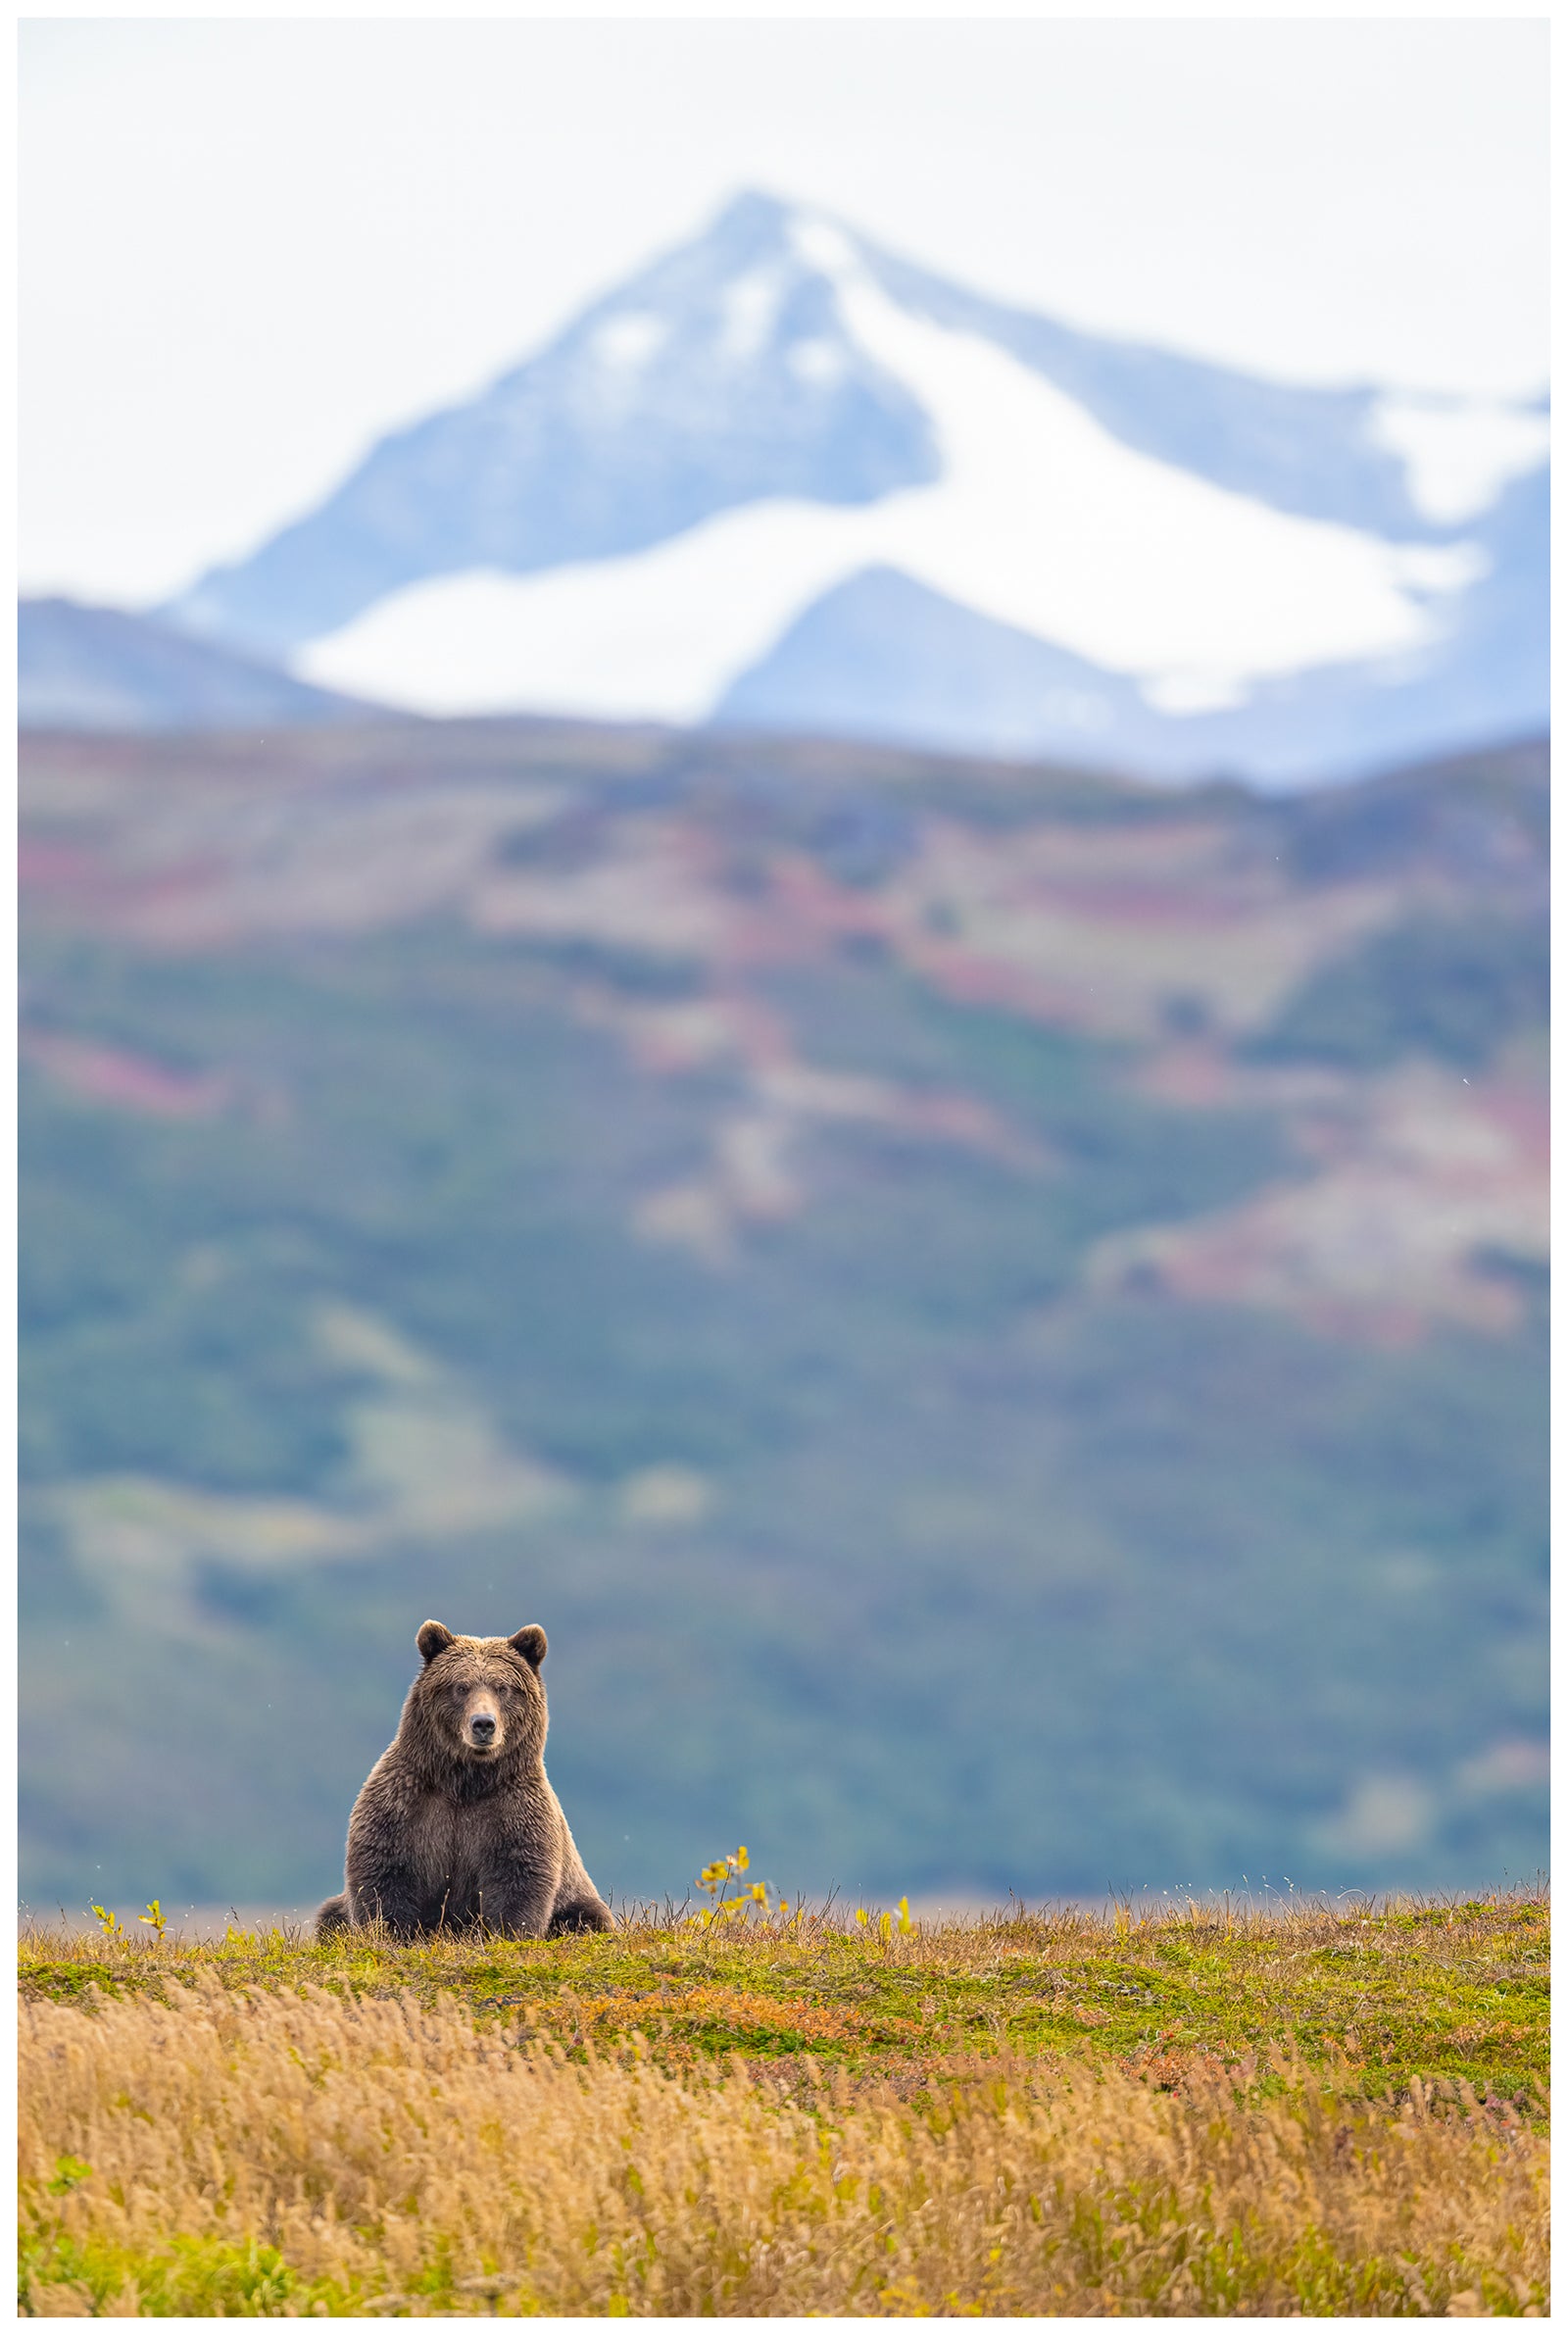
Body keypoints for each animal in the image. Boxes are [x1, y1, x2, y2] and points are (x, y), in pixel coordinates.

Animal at [315, 1619, 612, 1941]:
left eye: (503, 1687)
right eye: (461, 1686)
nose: (483, 1723)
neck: (465, 1781)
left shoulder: (514, 1811)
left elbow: (517, 1879)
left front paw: (507, 1932)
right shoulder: (404, 1805)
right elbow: (384, 1875)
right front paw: (390, 1932)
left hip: (577, 1897)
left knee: (588, 1917)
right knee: (329, 1916)